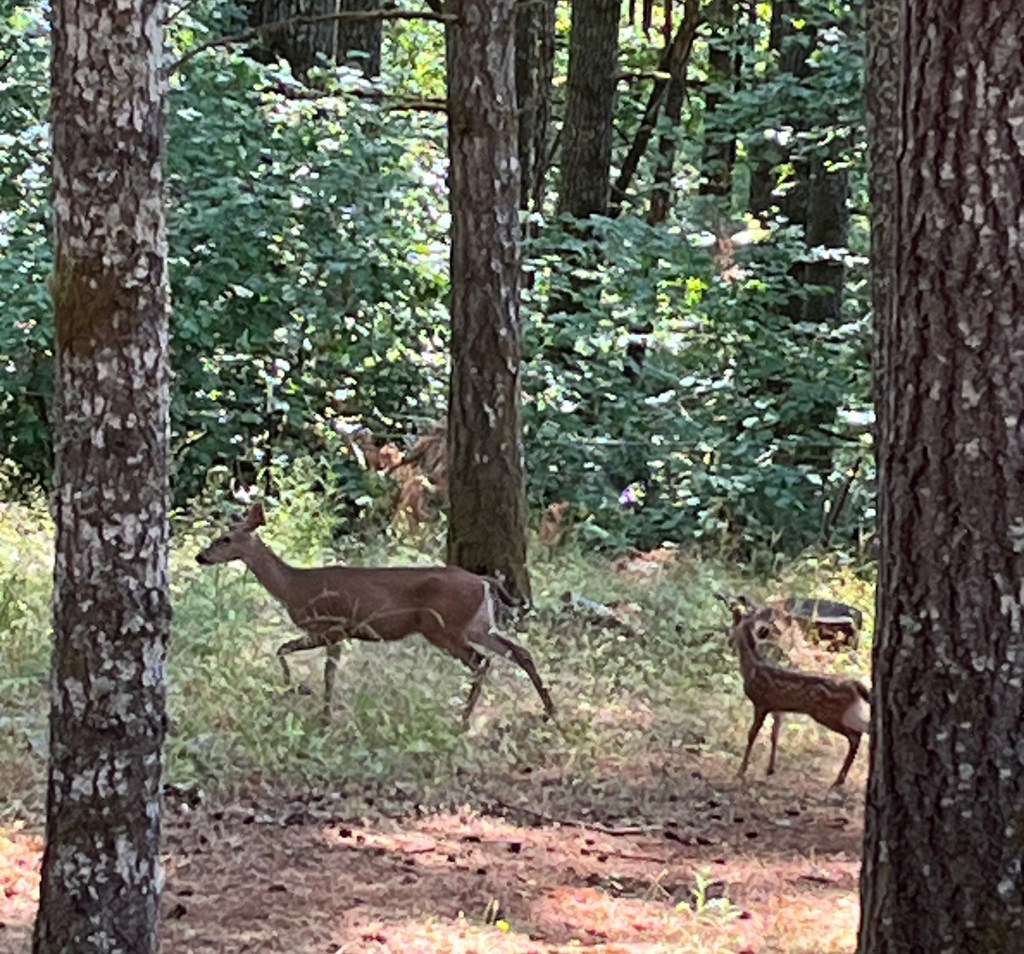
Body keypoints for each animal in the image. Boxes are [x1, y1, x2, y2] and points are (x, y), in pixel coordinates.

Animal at [195, 503, 556, 724]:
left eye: (225, 538)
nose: (201, 556)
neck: (292, 586)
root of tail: (484, 580)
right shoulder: (329, 631)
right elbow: (284, 650)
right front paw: (294, 690)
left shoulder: (333, 627)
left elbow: (324, 672)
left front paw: (320, 713)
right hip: (478, 624)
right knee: (519, 652)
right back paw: (549, 712)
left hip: (443, 627)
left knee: (481, 662)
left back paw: (463, 721)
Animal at [728, 604, 871, 788]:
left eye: (732, 626)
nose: (729, 640)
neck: (751, 668)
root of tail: (855, 684)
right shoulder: (777, 708)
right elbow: (775, 736)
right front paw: (770, 769)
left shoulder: (761, 702)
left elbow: (752, 735)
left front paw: (741, 770)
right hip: (849, 710)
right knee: (864, 729)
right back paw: (841, 778)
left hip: (830, 713)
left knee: (856, 735)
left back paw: (839, 779)